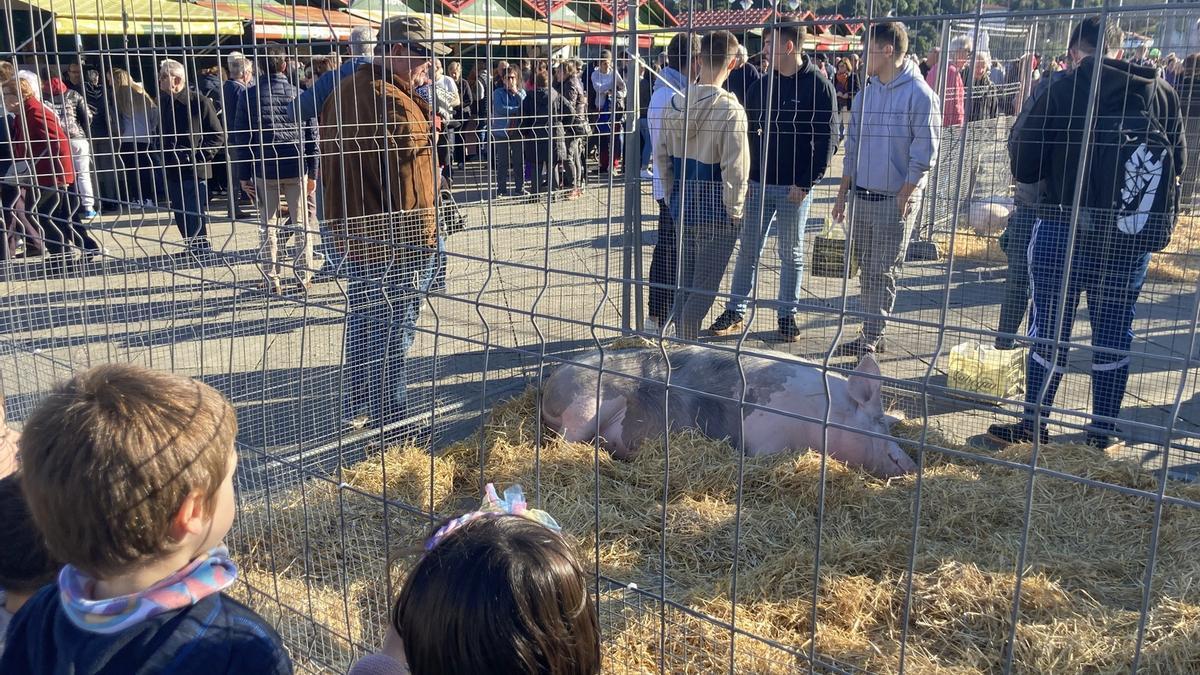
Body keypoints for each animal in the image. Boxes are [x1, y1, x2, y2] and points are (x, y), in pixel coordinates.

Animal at [542, 343, 916, 475]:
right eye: (878, 423)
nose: (911, 466)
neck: (819, 417)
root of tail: (551, 383)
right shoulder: (767, 438)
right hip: (584, 406)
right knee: (563, 443)